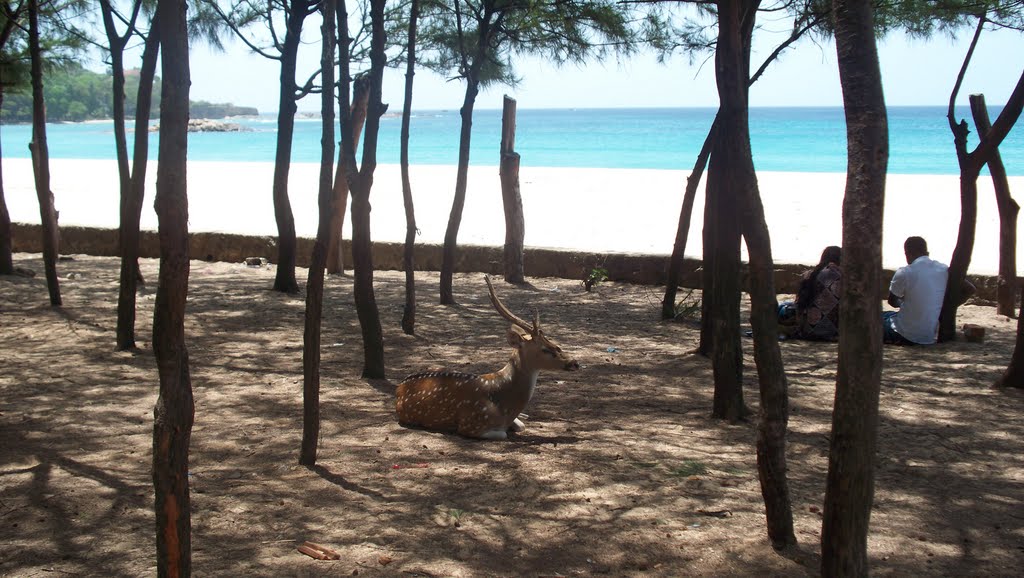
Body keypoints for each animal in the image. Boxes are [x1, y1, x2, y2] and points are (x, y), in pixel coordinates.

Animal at [395, 274, 581, 438]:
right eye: (545, 349)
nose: (575, 363)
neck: (505, 406)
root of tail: (399, 388)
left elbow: (521, 426)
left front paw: (521, 420)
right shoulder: (471, 425)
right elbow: (503, 434)